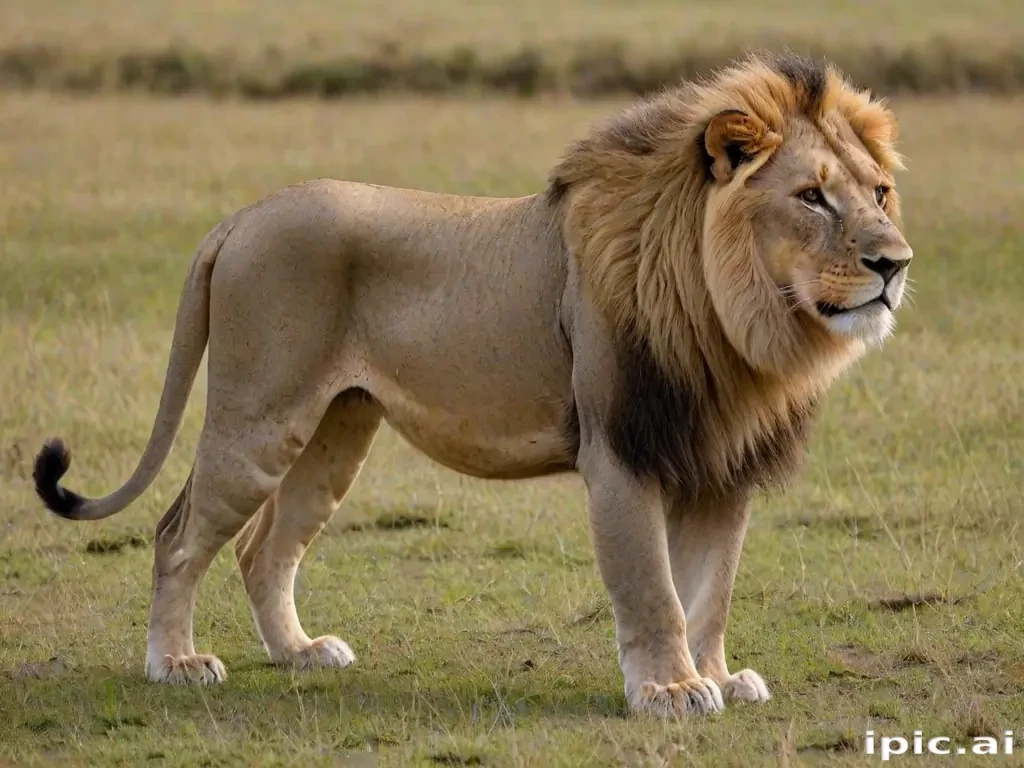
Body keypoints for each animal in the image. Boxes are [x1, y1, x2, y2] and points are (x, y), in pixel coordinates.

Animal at [33, 53, 912, 718]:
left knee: (264, 548)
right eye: (810, 197)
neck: (736, 316)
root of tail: (243, 216)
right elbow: (654, 590)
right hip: (258, 418)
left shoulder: (722, 465)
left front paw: (718, 676)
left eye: (878, 192)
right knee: (177, 535)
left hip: (335, 432)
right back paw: (175, 665)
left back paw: (300, 653)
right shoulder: (621, 453)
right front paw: (670, 690)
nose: (894, 263)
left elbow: (712, 591)